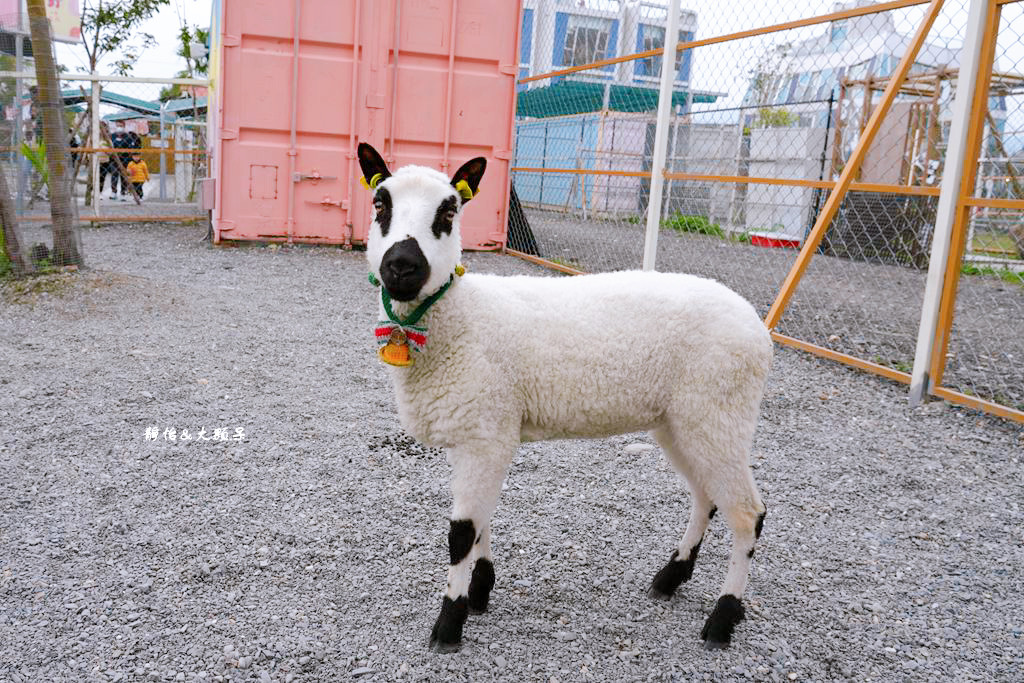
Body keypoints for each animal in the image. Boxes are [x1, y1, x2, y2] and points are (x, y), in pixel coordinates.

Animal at [358, 143, 770, 651]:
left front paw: (450, 624)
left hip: (720, 411)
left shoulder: (486, 434)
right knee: (706, 498)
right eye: (380, 204)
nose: (401, 266)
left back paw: (722, 619)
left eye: (450, 212)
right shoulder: (476, 429)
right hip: (682, 421)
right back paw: (671, 578)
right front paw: (480, 591)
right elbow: (481, 521)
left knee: (748, 515)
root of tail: (757, 327)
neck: (463, 318)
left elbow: (461, 533)